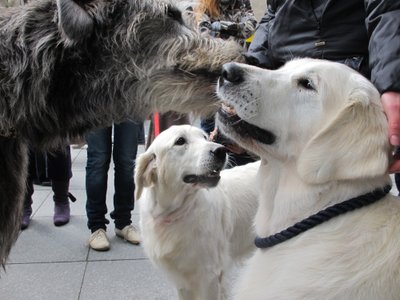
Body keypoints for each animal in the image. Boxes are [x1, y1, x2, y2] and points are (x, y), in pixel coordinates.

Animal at [134, 125, 260, 300]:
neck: (174, 213)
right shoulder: (182, 281)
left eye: (205, 137)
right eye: (180, 141)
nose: (221, 150)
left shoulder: (210, 277)